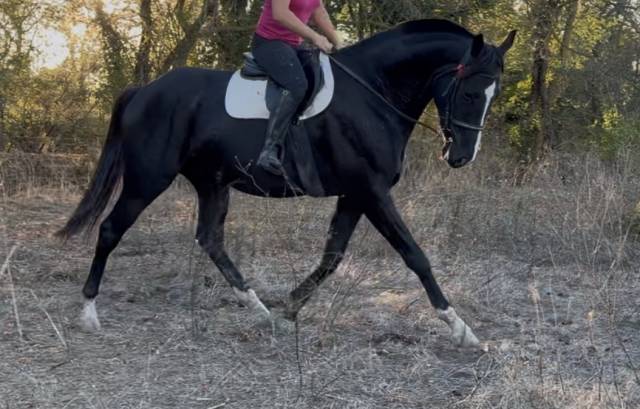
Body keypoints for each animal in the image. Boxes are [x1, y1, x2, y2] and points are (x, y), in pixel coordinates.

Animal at [57, 19, 516, 348]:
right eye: (471, 93)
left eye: (493, 95)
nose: (461, 157)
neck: (374, 93)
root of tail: (144, 90)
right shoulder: (371, 191)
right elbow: (414, 255)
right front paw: (460, 328)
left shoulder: (355, 195)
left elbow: (332, 257)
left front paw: (288, 309)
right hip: (148, 179)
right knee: (111, 229)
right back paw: (88, 313)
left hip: (212, 183)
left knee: (211, 240)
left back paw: (259, 311)